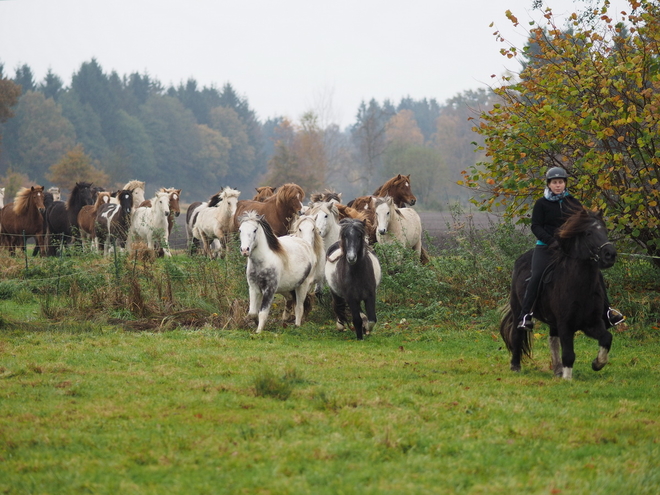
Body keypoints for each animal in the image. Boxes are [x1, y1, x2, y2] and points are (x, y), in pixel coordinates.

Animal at [500, 207, 620, 382]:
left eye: (605, 230)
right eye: (588, 233)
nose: (610, 255)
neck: (579, 286)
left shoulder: (592, 323)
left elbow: (606, 338)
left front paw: (597, 363)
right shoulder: (565, 325)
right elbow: (569, 354)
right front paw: (567, 379)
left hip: (553, 321)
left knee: (552, 340)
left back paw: (557, 370)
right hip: (518, 310)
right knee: (517, 335)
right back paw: (515, 366)